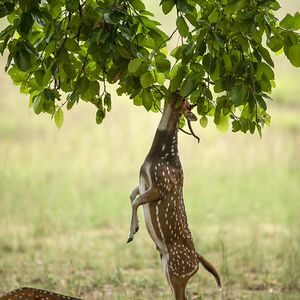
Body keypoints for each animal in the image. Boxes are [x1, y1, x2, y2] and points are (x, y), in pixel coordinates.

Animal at [127, 92, 221, 298]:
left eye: (185, 101)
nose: (175, 91)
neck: (159, 156)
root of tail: (197, 260)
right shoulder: (144, 181)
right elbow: (132, 196)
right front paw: (133, 229)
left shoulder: (162, 185)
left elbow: (136, 201)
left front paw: (132, 232)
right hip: (167, 269)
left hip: (177, 270)